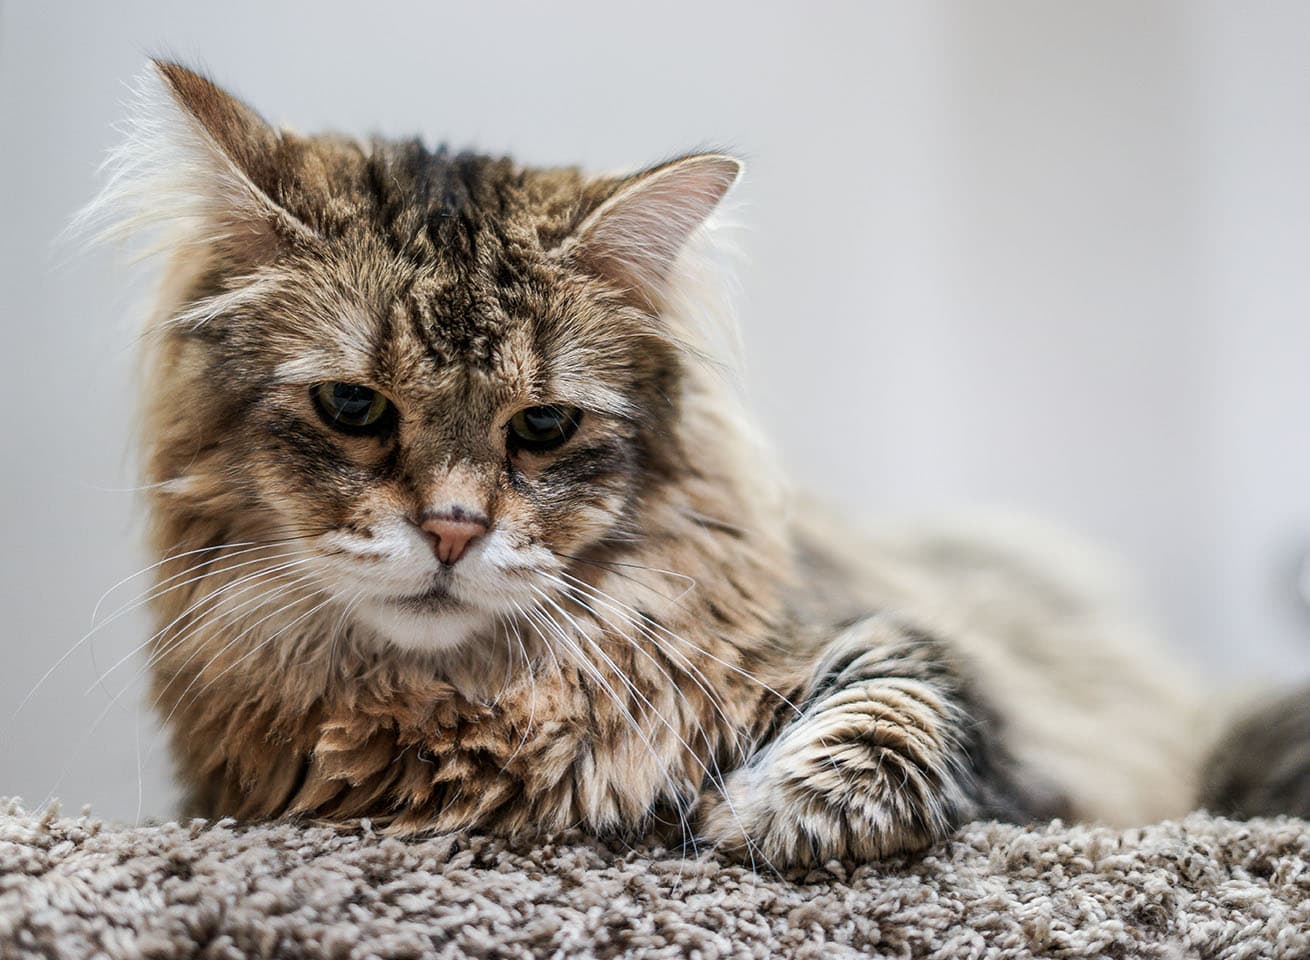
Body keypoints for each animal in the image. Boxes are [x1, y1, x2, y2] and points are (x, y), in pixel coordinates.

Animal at [87, 61, 1304, 869]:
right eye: (353, 407)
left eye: (541, 427)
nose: (451, 530)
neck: (468, 708)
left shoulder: (915, 657)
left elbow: (897, 703)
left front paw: (768, 818)